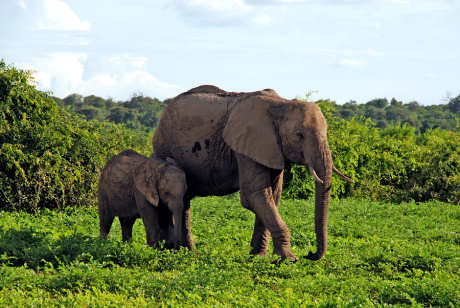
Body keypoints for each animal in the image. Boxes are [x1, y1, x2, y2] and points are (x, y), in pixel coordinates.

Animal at [153, 85, 350, 262]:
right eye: (299, 135)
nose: (309, 254)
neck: (281, 104)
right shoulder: (247, 147)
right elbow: (254, 195)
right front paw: (289, 259)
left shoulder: (271, 148)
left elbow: (271, 197)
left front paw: (258, 257)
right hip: (165, 148)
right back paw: (183, 254)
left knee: (184, 203)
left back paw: (189, 253)